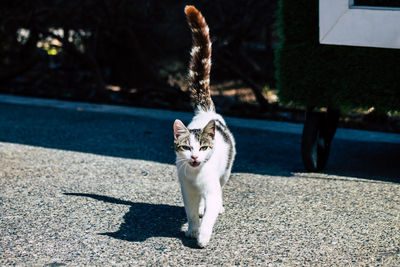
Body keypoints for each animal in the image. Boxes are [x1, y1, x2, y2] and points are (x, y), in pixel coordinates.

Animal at [173, 4, 236, 249]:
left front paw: (203, 236)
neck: (197, 175)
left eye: (202, 148)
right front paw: (192, 229)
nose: (194, 157)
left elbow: (210, 213)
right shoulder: (187, 190)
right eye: (187, 148)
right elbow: (191, 211)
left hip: (225, 172)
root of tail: (205, 112)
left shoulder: (212, 189)